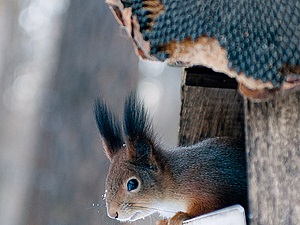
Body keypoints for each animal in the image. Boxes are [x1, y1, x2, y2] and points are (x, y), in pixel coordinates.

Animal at [95, 94, 247, 224]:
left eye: (132, 184)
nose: (113, 214)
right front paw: (162, 221)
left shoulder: (212, 186)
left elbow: (210, 205)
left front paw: (182, 215)